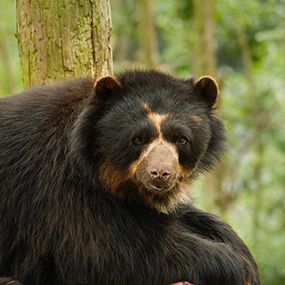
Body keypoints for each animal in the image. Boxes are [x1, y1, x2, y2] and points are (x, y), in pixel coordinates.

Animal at [0, 69, 258, 284]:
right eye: (138, 139)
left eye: (181, 139)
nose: (160, 174)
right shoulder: (63, 193)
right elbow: (116, 254)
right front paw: (239, 268)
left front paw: (241, 250)